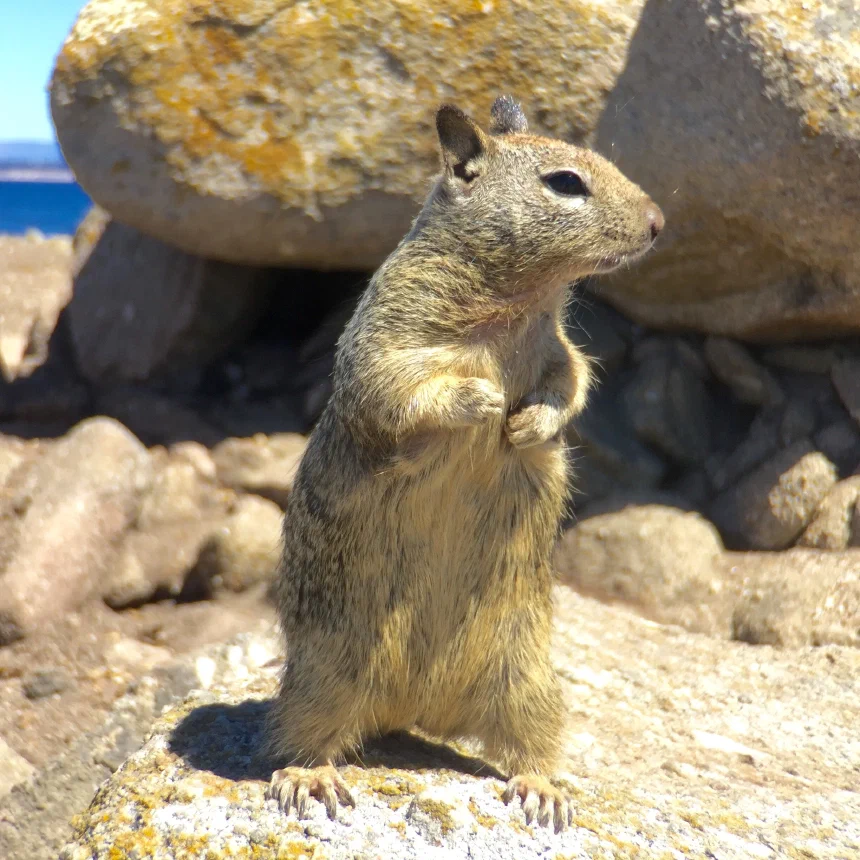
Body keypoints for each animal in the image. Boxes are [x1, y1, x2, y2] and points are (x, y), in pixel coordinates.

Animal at [265, 95, 663, 833]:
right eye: (566, 182)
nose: (659, 223)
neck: (514, 306)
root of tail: (419, 710)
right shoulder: (383, 346)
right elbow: (397, 392)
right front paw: (481, 399)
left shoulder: (559, 350)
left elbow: (574, 382)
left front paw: (530, 423)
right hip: (323, 675)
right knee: (302, 736)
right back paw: (310, 775)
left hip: (528, 679)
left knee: (532, 743)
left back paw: (543, 787)